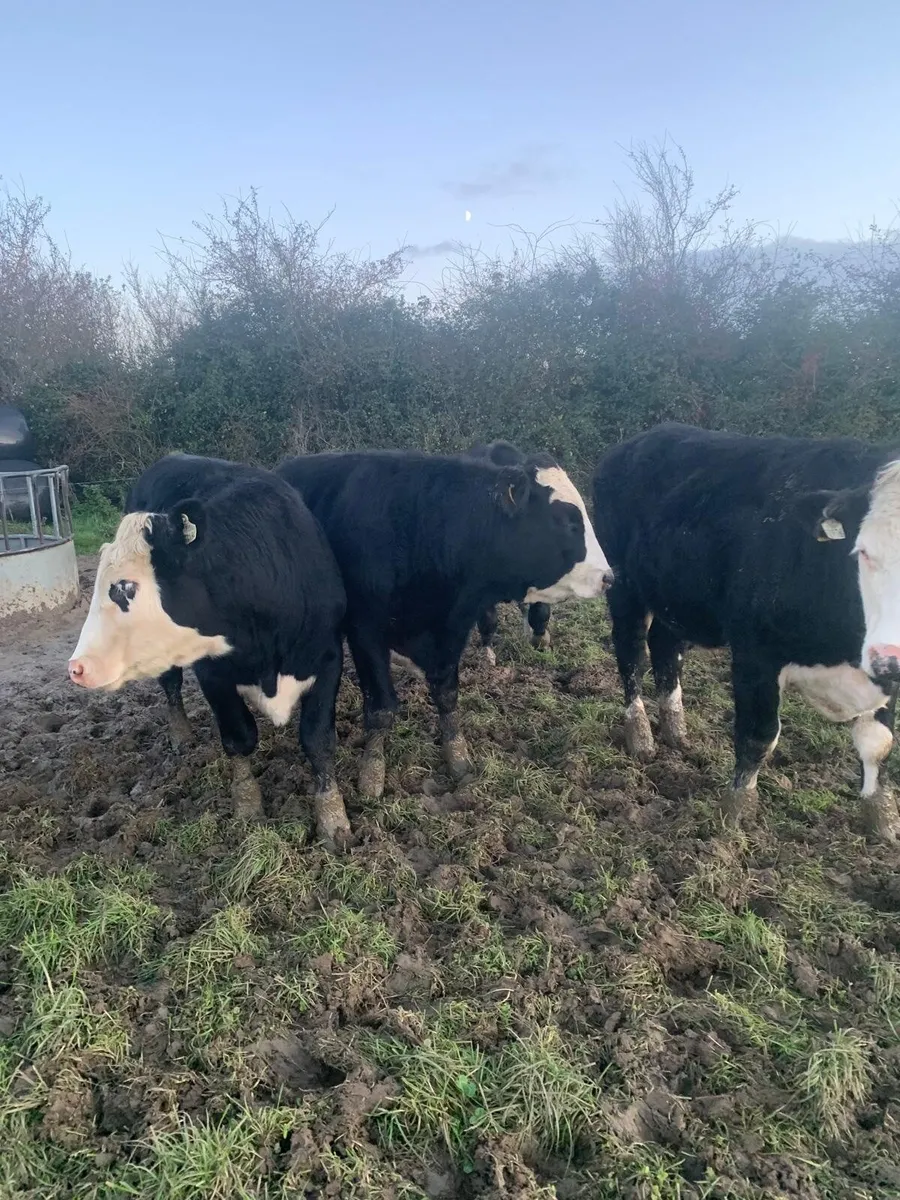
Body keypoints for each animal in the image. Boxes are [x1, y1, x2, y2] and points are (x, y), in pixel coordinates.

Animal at [67, 453, 351, 849]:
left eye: (124, 587)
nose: (77, 667)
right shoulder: (213, 672)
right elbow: (239, 737)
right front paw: (247, 807)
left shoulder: (327, 658)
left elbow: (318, 740)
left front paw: (334, 820)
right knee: (170, 685)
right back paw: (181, 735)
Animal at [592, 422, 900, 841]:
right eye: (864, 551)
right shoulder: (756, 653)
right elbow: (759, 735)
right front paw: (735, 814)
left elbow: (879, 743)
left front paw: (882, 817)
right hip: (624, 585)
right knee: (631, 653)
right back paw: (640, 735)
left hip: (676, 596)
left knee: (665, 648)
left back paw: (676, 730)